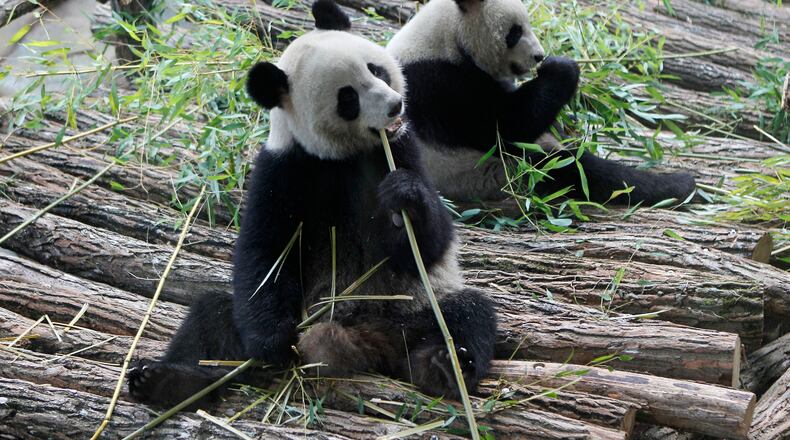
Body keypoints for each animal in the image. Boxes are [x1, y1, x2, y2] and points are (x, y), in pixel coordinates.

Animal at [127, 0, 497, 408]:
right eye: (348, 98)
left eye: (376, 69)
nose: (394, 105)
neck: (342, 156)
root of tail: (368, 342)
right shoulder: (284, 169)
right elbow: (265, 253)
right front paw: (273, 345)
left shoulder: (402, 149)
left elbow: (428, 246)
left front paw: (406, 198)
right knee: (211, 315)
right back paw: (167, 380)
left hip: (416, 309)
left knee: (468, 313)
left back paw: (443, 366)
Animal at [387, 0, 697, 204]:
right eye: (514, 32)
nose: (539, 56)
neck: (448, 35)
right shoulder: (440, 84)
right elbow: (504, 127)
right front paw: (562, 68)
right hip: (491, 174)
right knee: (571, 170)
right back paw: (677, 185)